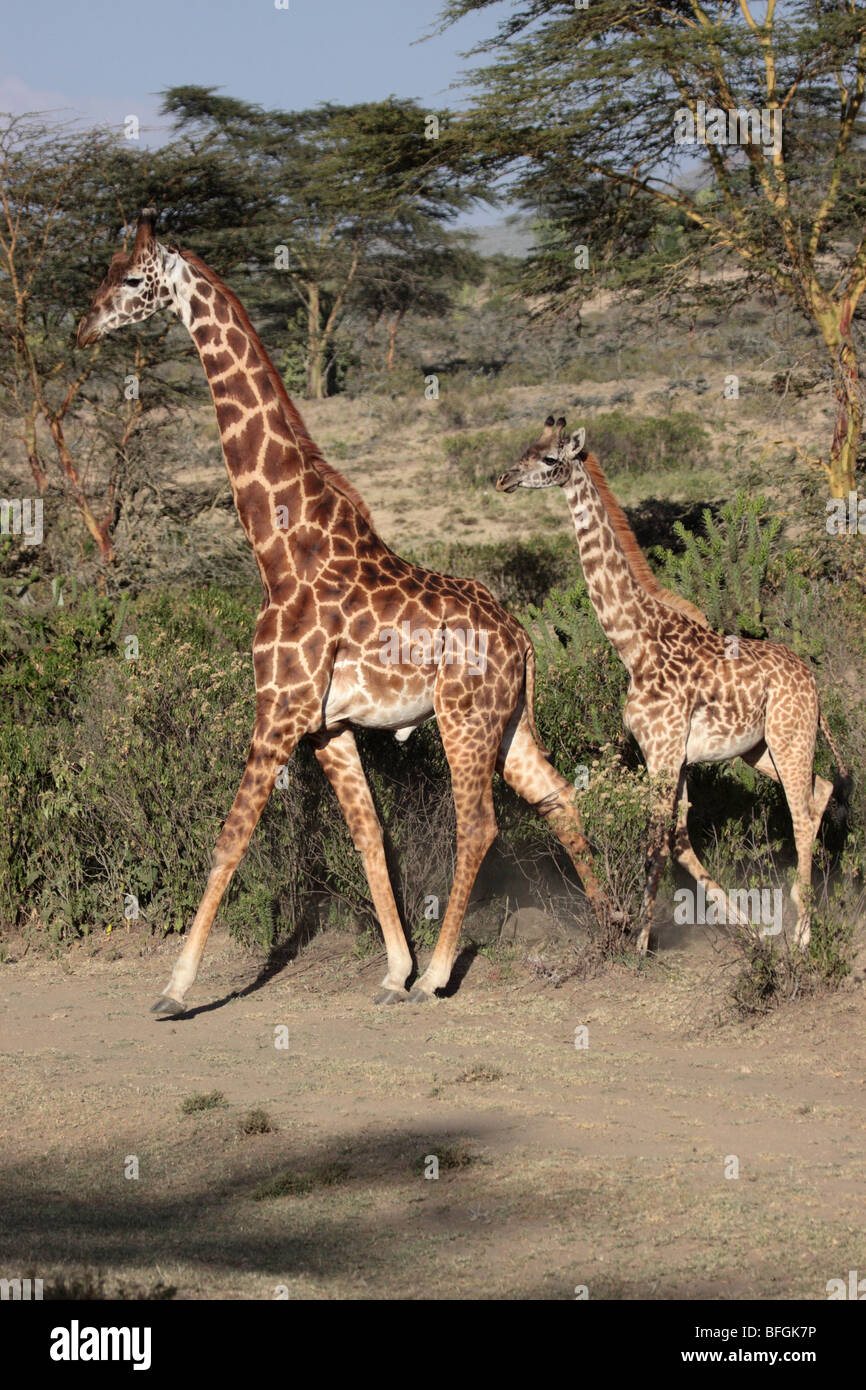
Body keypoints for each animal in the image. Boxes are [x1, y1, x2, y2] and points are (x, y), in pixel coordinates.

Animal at [77, 208, 614, 1011]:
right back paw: (621, 932)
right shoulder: (328, 727)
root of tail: (523, 639)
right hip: (512, 721)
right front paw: (392, 970)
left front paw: (174, 989)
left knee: (479, 825)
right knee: (558, 799)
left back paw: (442, 973)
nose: (83, 326)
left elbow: (228, 839)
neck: (280, 550)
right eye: (107, 269)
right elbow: (370, 837)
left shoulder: (277, 711)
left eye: (136, 279)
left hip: (462, 718)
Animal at [497, 417, 850, 950]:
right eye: (526, 448)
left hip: (790, 735)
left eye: (549, 459)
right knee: (822, 789)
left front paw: (640, 944)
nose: (504, 479)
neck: (635, 644)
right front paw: (742, 927)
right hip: (761, 748)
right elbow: (678, 838)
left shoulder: (662, 751)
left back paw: (804, 932)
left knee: (802, 811)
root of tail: (814, 681)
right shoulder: (670, 755)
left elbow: (654, 840)